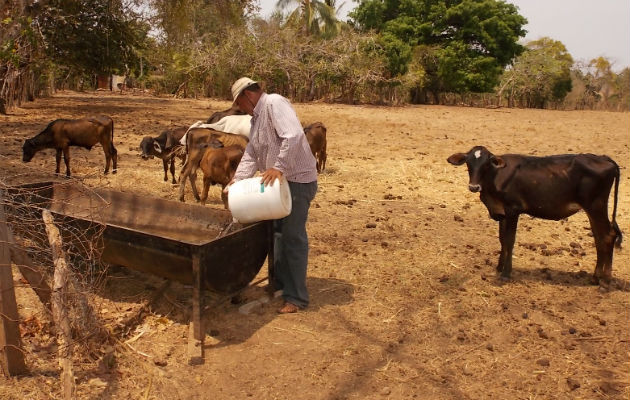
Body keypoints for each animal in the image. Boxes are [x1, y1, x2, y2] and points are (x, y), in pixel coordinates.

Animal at [450, 145, 624, 290]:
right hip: (593, 210)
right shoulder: (502, 212)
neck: (495, 179)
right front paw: (499, 267)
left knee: (608, 236)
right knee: (599, 238)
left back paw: (605, 282)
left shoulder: (513, 210)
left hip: (596, 207)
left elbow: (509, 240)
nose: (474, 187)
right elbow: (502, 239)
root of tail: (603, 158)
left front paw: (506, 273)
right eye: (468, 163)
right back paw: (595, 278)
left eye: (486, 164)